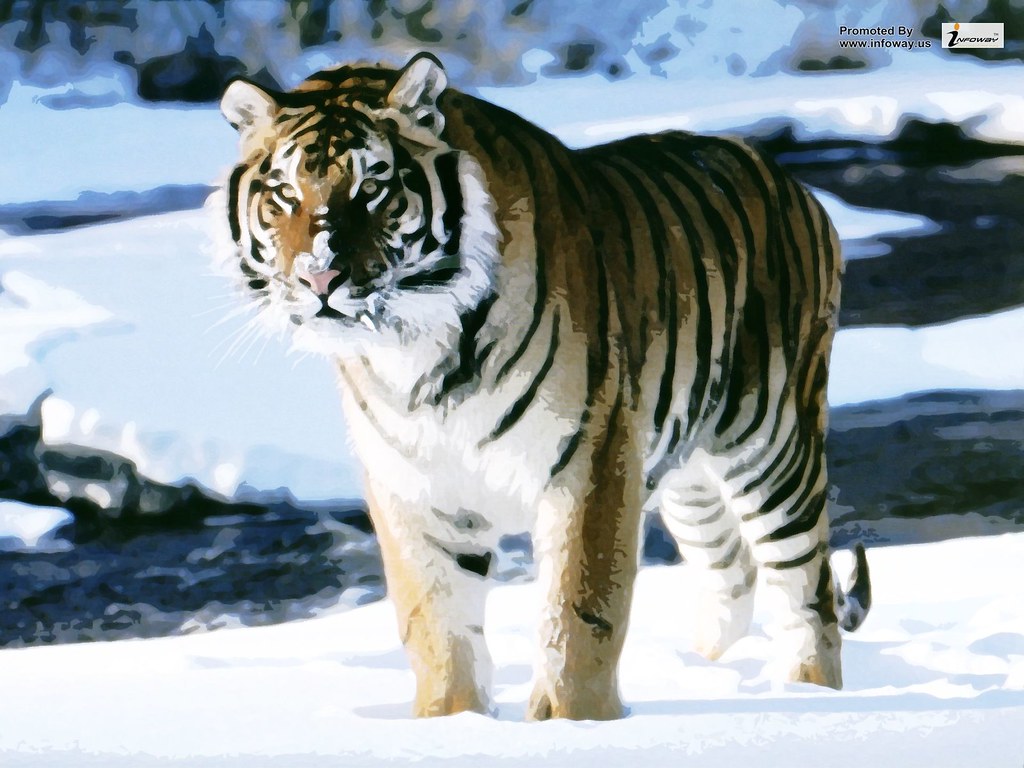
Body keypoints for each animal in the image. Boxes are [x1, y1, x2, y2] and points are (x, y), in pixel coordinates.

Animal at [219, 52, 871, 721]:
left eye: (373, 187)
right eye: (285, 194)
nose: (318, 277)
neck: (415, 351)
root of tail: (792, 181)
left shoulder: (592, 458)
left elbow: (578, 613)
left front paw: (571, 724)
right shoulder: (414, 484)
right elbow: (437, 625)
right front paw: (452, 722)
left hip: (772, 443)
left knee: (808, 587)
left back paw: (807, 694)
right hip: (687, 472)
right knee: (730, 569)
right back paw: (713, 675)